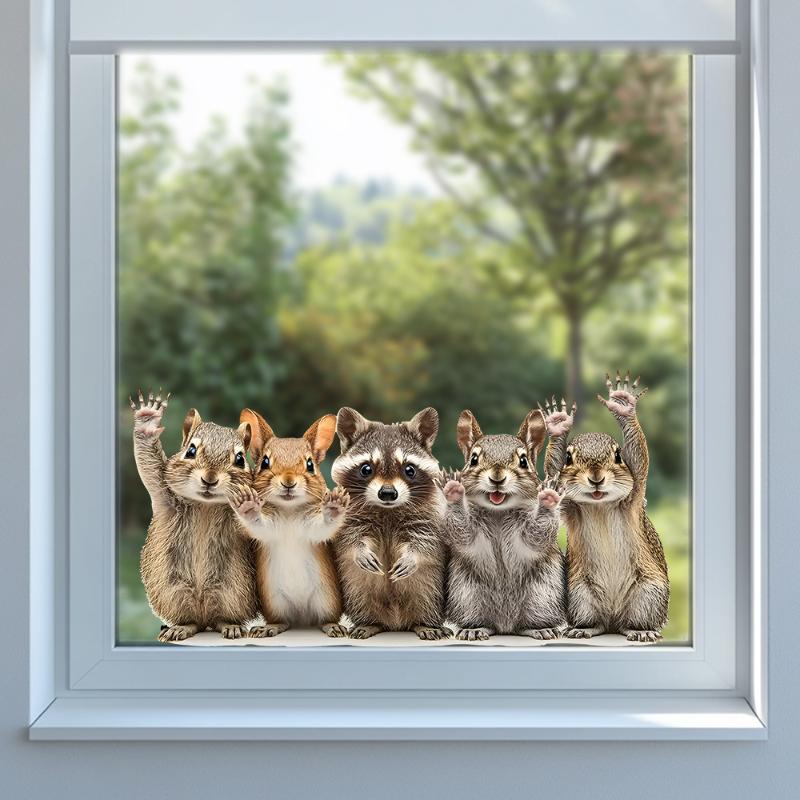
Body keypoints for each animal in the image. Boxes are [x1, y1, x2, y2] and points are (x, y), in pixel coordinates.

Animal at [132, 390, 258, 642]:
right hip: (173, 593)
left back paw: (230, 626)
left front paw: (248, 503)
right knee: (192, 621)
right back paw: (181, 628)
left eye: (240, 459)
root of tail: (204, 613)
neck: (205, 506)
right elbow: (150, 467)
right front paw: (147, 420)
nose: (210, 479)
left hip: (233, 593)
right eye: (190, 450)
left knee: (221, 618)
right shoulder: (164, 495)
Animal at [227, 409, 349, 638]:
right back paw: (270, 628)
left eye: (310, 465)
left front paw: (334, 505)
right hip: (274, 602)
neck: (289, 511)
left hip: (327, 599)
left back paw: (333, 626)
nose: (288, 481)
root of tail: (302, 618)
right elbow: (257, 524)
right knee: (283, 621)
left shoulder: (312, 530)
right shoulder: (268, 529)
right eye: (265, 462)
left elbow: (323, 527)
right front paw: (247, 505)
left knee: (326, 618)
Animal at [331, 407, 450, 640]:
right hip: (355, 589)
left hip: (431, 589)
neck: (387, 510)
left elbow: (426, 541)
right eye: (366, 469)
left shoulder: (429, 517)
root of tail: (395, 623)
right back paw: (370, 623)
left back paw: (425, 624)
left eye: (409, 469)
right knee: (361, 596)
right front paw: (359, 550)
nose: (387, 493)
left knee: (427, 597)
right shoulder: (347, 516)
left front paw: (412, 556)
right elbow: (349, 538)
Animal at [440, 409, 567, 641]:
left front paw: (549, 497)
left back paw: (540, 628)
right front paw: (453, 490)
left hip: (543, 595)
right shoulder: (469, 530)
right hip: (466, 595)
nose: (497, 477)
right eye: (473, 459)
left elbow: (538, 535)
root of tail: (505, 626)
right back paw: (474, 629)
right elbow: (462, 531)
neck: (498, 512)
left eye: (523, 461)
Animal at [542, 373, 669, 642]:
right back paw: (584, 628)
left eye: (619, 456)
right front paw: (558, 426)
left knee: (633, 621)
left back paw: (640, 631)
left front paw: (623, 405)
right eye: (568, 458)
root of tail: (614, 618)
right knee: (597, 622)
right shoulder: (569, 507)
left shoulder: (634, 494)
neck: (599, 505)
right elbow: (552, 473)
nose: (596, 478)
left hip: (649, 594)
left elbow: (640, 459)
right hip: (579, 594)